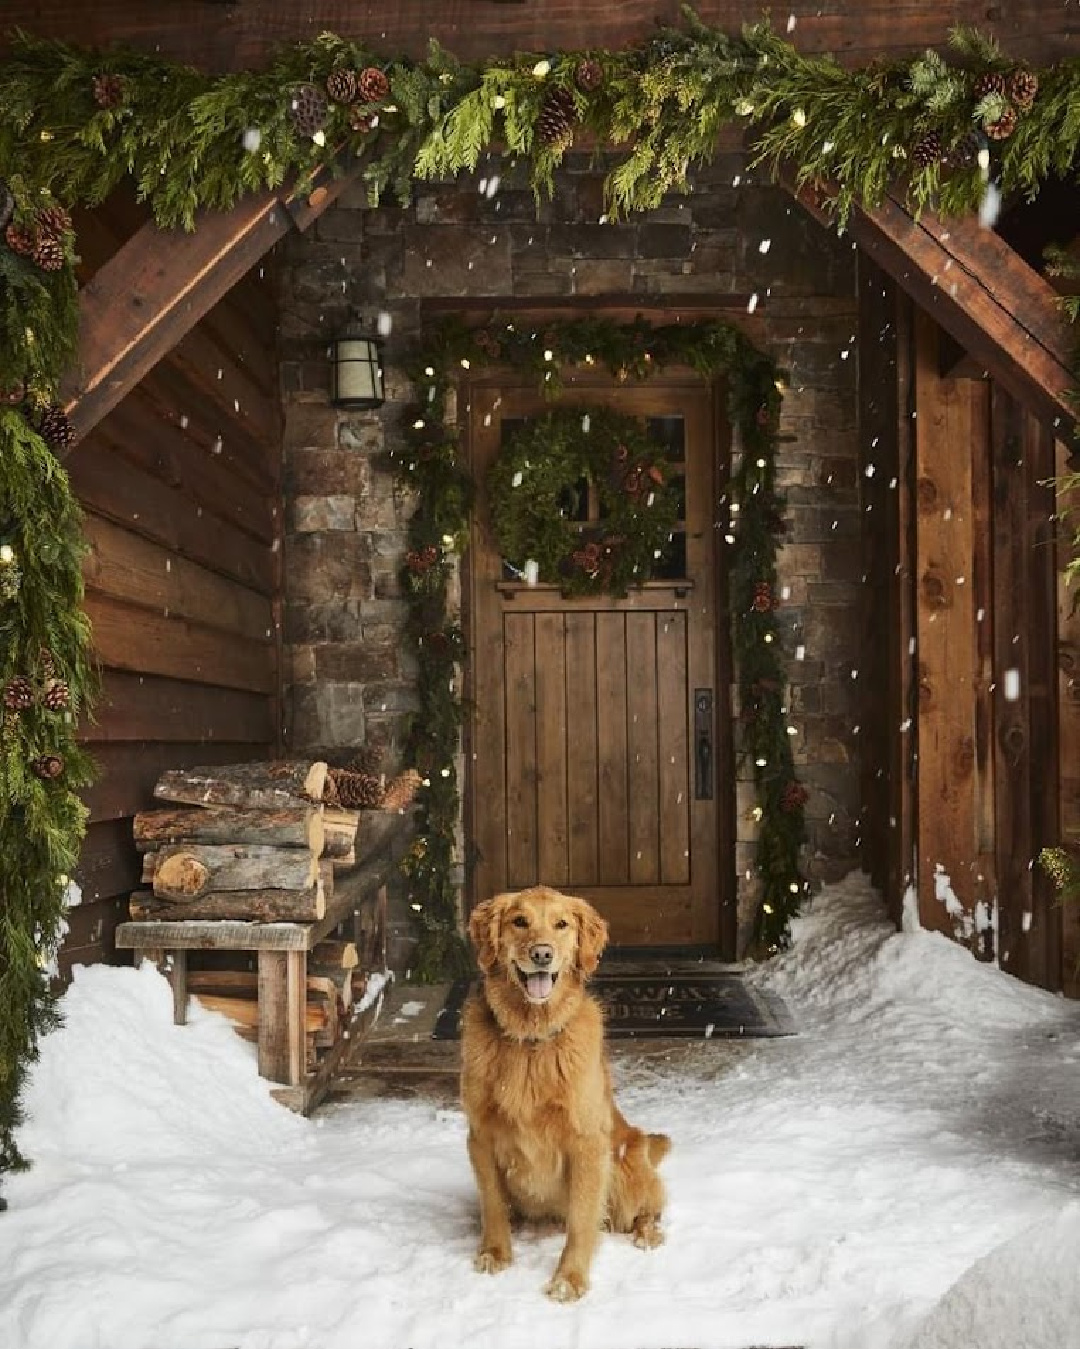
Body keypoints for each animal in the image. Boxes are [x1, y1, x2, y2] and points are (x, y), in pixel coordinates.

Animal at [461, 879, 668, 1300]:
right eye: (519, 922)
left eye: (561, 924)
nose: (542, 954)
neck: (530, 1039)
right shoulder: (480, 1135)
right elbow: (492, 1204)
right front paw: (495, 1252)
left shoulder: (586, 1142)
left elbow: (582, 1219)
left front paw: (569, 1278)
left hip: (626, 1163)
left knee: (647, 1211)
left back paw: (647, 1234)